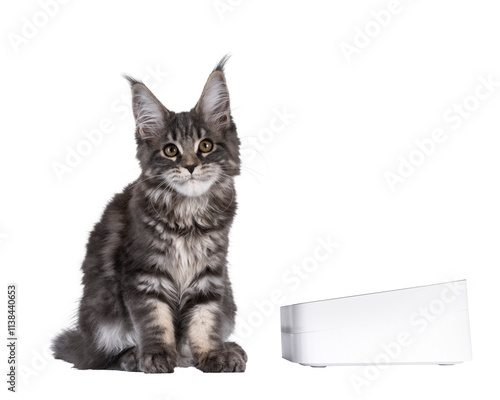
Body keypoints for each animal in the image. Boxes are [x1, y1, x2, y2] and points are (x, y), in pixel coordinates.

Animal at [52, 57, 246, 374]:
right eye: (170, 150)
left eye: (205, 146)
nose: (190, 166)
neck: (188, 215)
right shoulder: (143, 273)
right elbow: (154, 320)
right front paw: (156, 355)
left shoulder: (210, 275)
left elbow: (205, 321)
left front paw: (213, 355)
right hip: (101, 313)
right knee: (104, 357)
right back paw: (134, 357)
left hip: (228, 299)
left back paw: (217, 351)